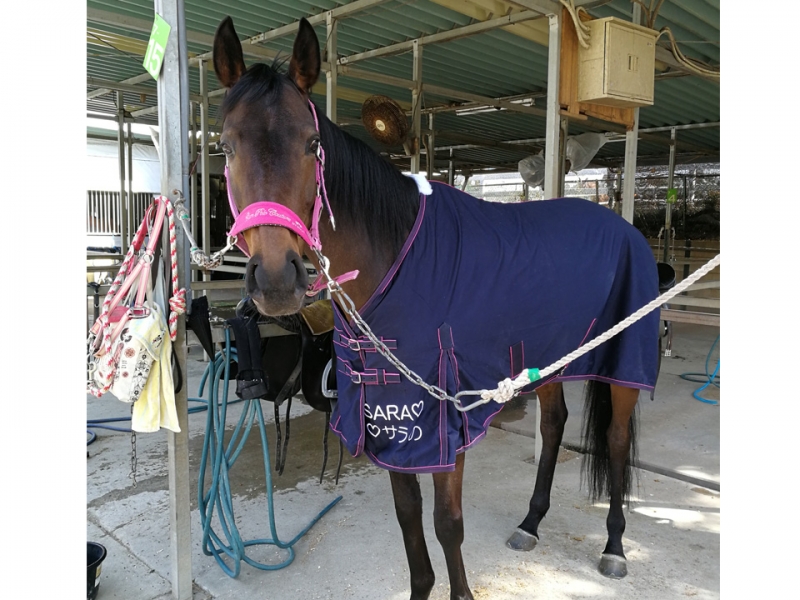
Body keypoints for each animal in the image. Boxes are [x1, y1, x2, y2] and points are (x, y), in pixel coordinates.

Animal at [211, 15, 662, 599]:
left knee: (615, 440)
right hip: (547, 363)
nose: (275, 279)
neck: (397, 262)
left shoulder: (446, 420)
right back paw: (530, 523)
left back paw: (614, 548)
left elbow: (447, 524)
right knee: (554, 426)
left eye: (312, 144)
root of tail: (625, 227)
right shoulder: (392, 425)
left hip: (622, 368)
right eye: (225, 146)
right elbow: (409, 520)